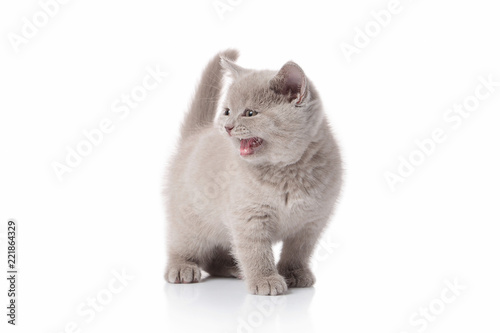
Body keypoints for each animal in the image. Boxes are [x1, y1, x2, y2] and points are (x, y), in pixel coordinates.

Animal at [164, 48, 344, 294]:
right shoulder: (248, 217)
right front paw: (265, 280)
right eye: (227, 111)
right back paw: (182, 268)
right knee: (182, 244)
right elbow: (256, 252)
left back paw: (233, 268)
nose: (227, 127)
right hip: (192, 220)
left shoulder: (312, 222)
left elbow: (298, 251)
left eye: (250, 113)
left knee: (216, 255)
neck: (286, 171)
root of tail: (194, 136)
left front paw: (295, 272)